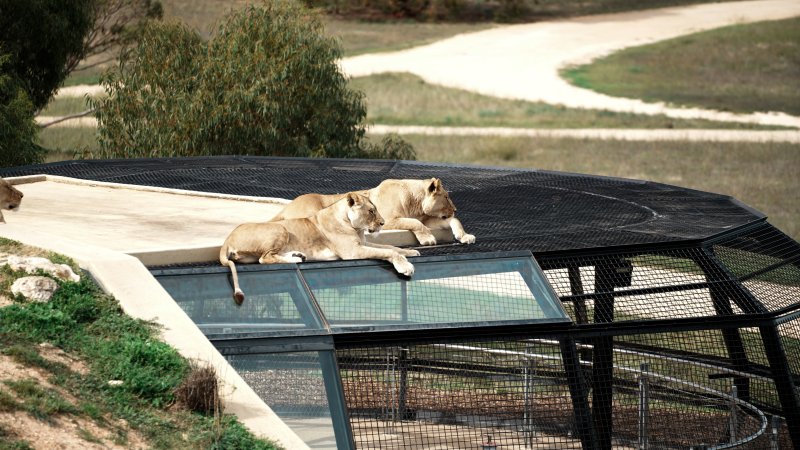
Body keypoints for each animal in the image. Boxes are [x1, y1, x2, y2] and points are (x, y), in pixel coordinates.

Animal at [220, 192, 419, 304]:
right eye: (371, 211)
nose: (383, 223)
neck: (354, 226)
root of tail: (227, 239)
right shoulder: (353, 251)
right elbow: (388, 251)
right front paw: (405, 266)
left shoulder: (362, 244)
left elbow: (391, 246)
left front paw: (411, 252)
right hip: (280, 228)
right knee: (265, 258)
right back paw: (296, 258)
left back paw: (298, 255)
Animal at [271, 178, 475, 246]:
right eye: (447, 197)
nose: (455, 208)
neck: (415, 203)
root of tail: (288, 206)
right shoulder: (388, 219)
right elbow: (413, 222)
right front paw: (428, 239)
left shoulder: (429, 220)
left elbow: (454, 221)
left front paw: (465, 236)